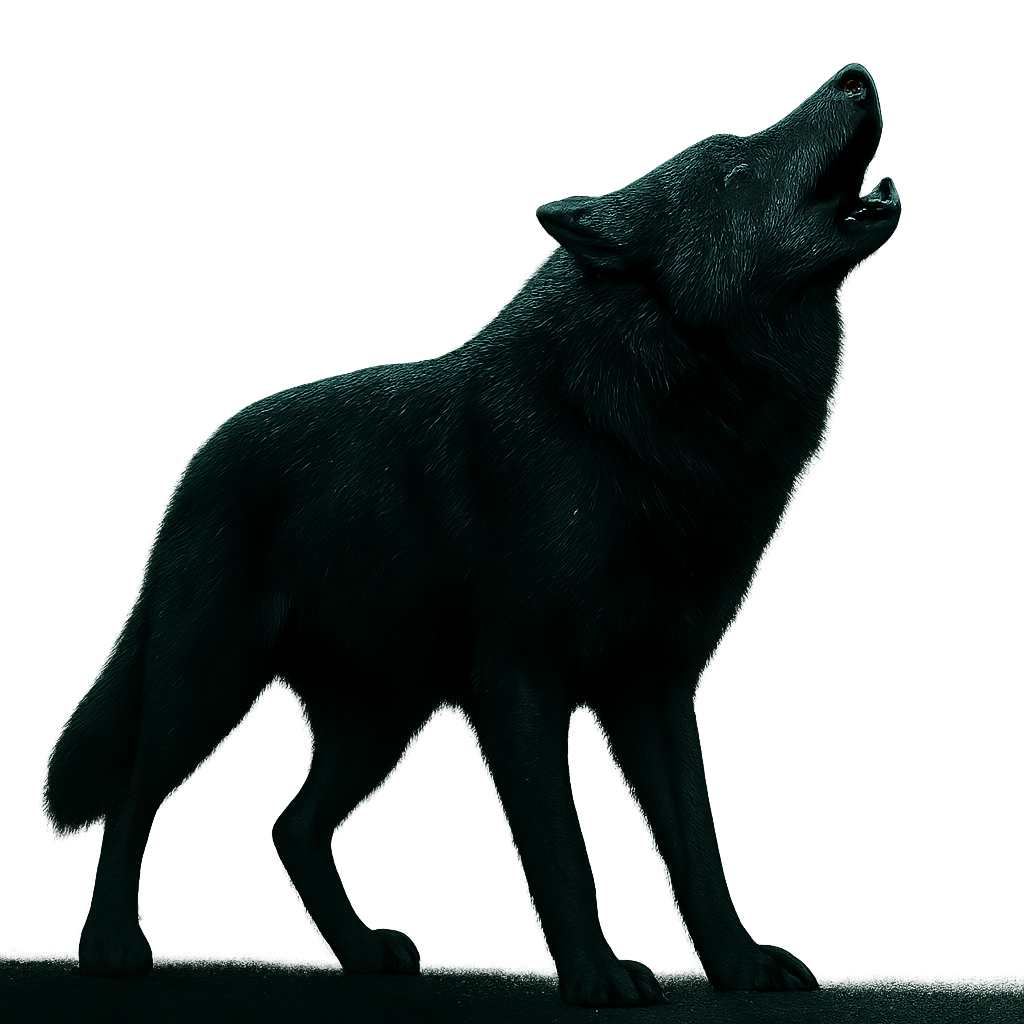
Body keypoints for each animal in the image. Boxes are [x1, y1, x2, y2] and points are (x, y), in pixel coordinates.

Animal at [46, 64, 899, 1007]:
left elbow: (700, 852)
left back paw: (361, 951)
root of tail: (199, 462)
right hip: (208, 681)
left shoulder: (659, 690)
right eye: (736, 176)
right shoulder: (521, 682)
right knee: (135, 795)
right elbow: (564, 854)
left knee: (291, 826)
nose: (854, 78)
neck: (643, 434)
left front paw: (739, 965)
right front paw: (598, 975)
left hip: (379, 721)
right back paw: (110, 944)